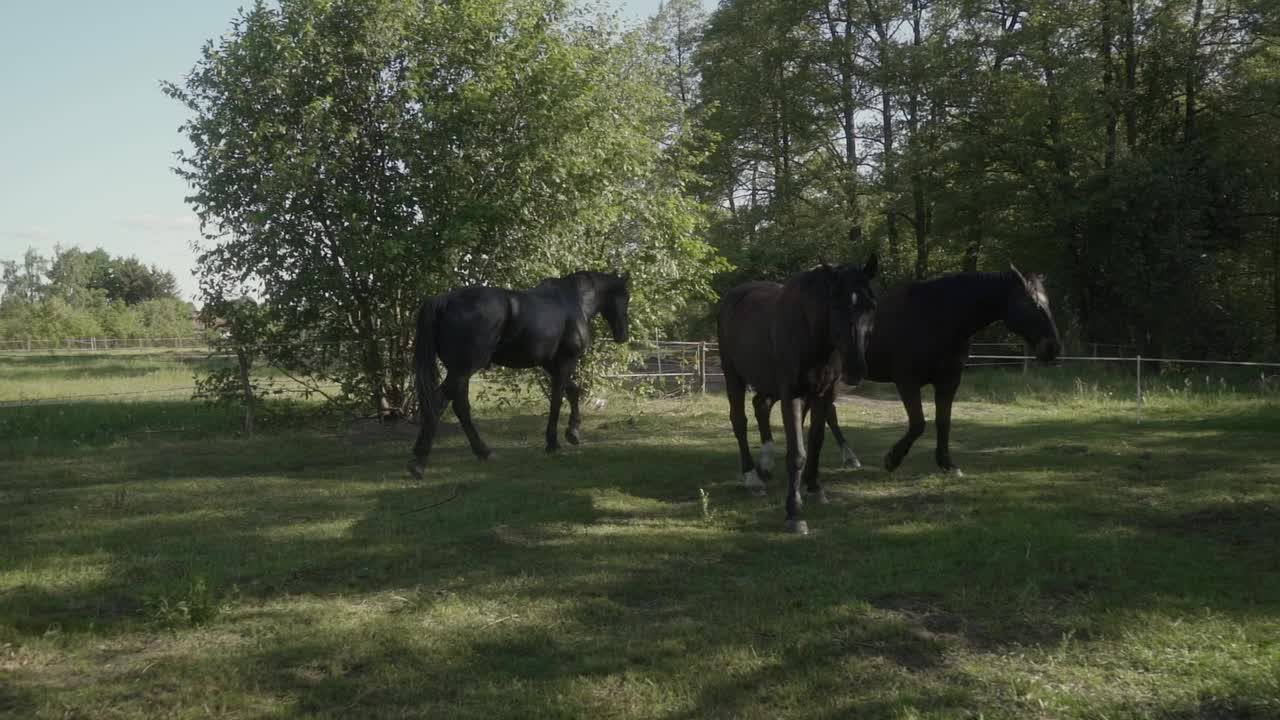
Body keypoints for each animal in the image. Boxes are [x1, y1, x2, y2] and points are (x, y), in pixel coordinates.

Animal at [409, 269, 629, 476]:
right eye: (626, 297)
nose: (623, 335)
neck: (573, 301)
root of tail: (445, 301)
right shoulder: (566, 360)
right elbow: (557, 400)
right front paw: (553, 442)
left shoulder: (551, 364)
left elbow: (572, 391)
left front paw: (573, 432)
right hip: (464, 369)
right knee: (442, 402)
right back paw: (421, 462)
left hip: (459, 371)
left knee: (455, 406)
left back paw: (478, 452)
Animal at [721, 254, 880, 530]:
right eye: (836, 306)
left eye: (870, 305)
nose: (856, 369)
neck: (810, 333)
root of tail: (734, 295)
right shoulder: (792, 393)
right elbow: (797, 452)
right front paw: (794, 513)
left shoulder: (822, 394)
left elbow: (816, 440)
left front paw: (815, 487)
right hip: (733, 377)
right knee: (739, 421)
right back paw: (752, 477)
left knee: (760, 405)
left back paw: (766, 464)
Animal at [747, 263, 1059, 476]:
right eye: (1031, 304)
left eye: (1047, 303)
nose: (1053, 349)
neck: (940, 315)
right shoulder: (907, 381)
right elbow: (918, 423)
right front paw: (892, 459)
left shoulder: (949, 381)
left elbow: (943, 421)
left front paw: (947, 463)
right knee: (764, 404)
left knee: (815, 412)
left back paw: (845, 457)